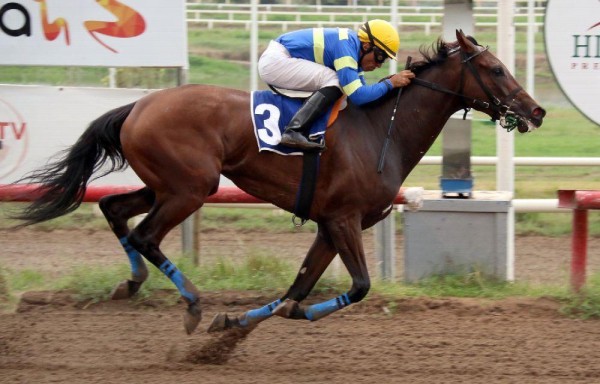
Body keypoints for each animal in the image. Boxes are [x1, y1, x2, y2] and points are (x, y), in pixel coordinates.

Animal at [10, 30, 544, 336]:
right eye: (496, 68)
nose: (537, 111)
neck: (379, 129)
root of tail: (139, 104)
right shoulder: (343, 219)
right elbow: (358, 286)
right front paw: (238, 320)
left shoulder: (330, 226)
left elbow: (298, 287)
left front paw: (234, 325)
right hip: (191, 188)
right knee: (144, 234)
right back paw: (192, 303)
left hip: (168, 184)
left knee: (115, 210)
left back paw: (132, 284)